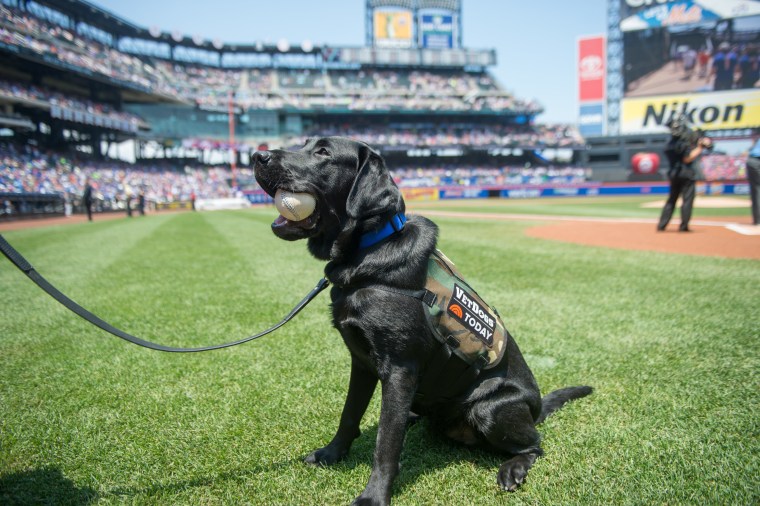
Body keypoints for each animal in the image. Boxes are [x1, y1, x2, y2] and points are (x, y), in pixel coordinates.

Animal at [252, 136, 592, 504]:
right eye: (305, 144)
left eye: (323, 153)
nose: (257, 155)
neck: (368, 249)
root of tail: (536, 408)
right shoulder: (361, 361)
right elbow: (349, 414)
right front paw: (332, 454)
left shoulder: (400, 368)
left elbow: (386, 442)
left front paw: (374, 495)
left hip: (490, 408)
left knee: (535, 446)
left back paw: (512, 469)